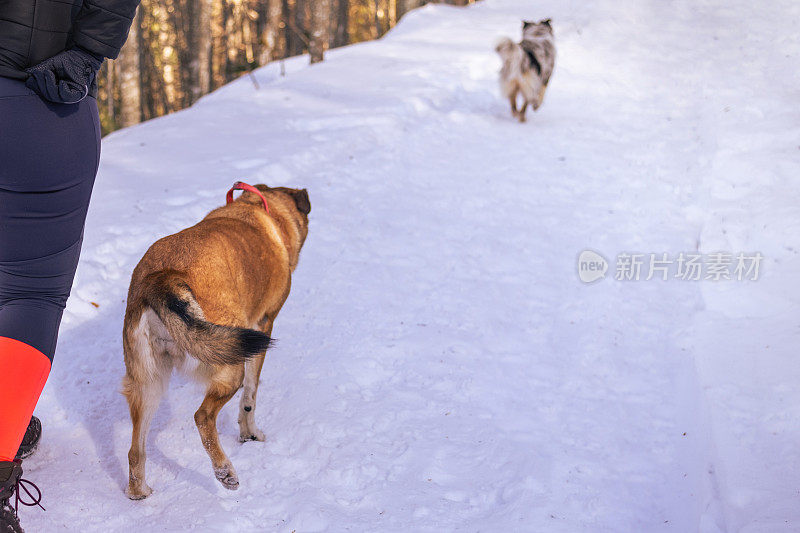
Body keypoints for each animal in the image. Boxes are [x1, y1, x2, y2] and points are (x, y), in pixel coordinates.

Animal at [121, 183, 310, 498]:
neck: (258, 208)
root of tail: (163, 278)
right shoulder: (264, 325)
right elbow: (250, 396)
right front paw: (250, 434)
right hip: (229, 364)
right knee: (203, 416)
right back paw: (225, 471)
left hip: (147, 381)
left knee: (136, 450)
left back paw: (139, 492)